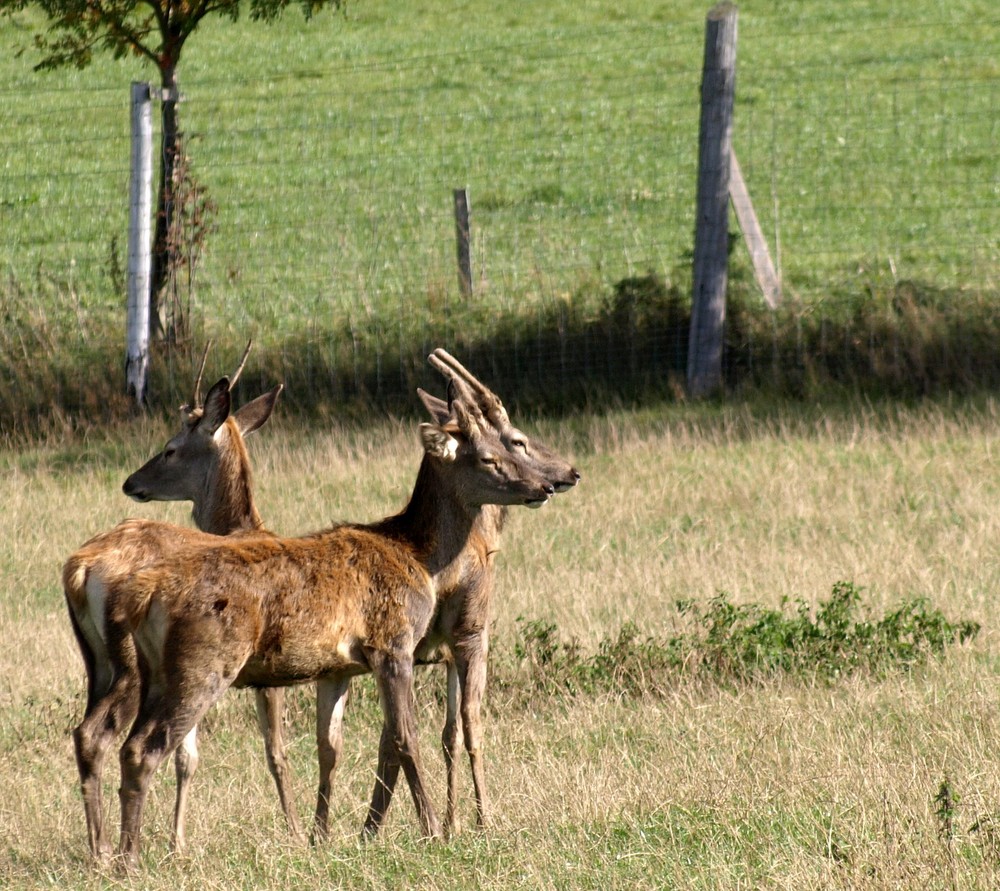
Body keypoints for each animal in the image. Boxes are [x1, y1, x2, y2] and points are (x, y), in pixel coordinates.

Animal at [63, 342, 290, 856]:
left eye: (169, 449)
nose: (131, 482)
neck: (244, 526)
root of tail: (81, 568)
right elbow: (276, 751)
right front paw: (297, 829)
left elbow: (189, 756)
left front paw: (177, 841)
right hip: (130, 663)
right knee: (100, 736)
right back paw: (106, 851)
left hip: (97, 661)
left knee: (88, 734)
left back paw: (98, 847)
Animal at [99, 372, 556, 868]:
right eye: (491, 456)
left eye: (512, 443)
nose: (546, 486)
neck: (420, 559)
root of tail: (144, 594)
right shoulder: (392, 642)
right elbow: (405, 738)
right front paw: (432, 831)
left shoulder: (338, 667)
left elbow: (337, 745)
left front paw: (332, 835)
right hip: (202, 663)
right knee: (142, 749)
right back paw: (128, 860)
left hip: (157, 672)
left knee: (124, 744)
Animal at [320, 350, 584, 844]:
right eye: (514, 442)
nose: (564, 476)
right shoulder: (470, 632)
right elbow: (460, 728)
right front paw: (477, 819)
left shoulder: (443, 643)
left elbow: (441, 733)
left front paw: (426, 823)